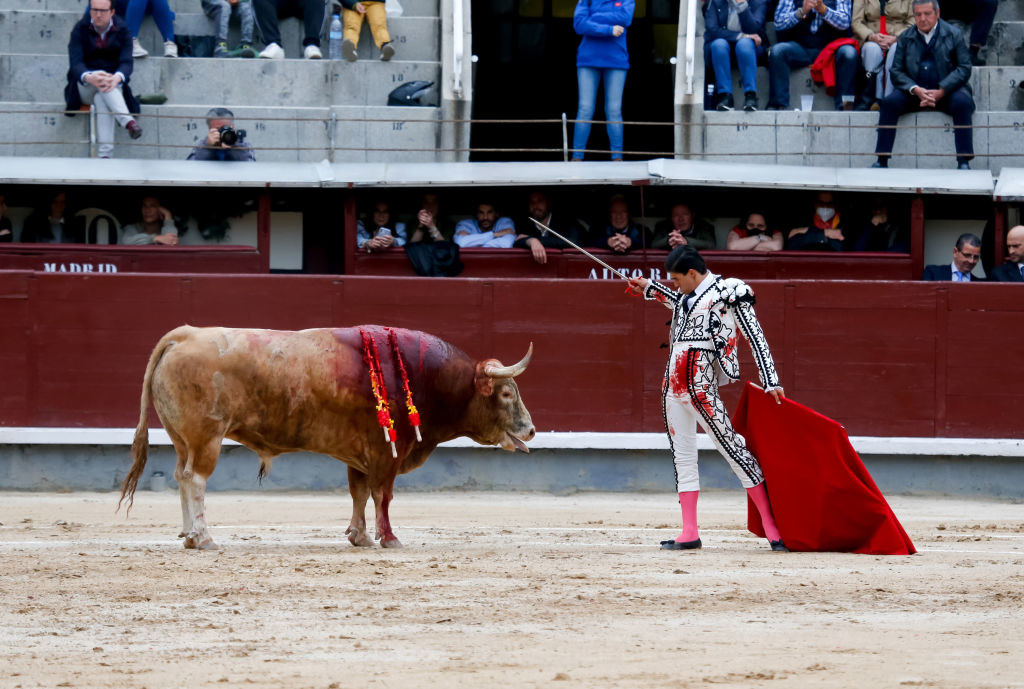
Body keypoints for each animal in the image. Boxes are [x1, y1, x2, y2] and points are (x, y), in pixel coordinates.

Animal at [119, 325, 536, 552]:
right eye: (506, 393)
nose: (531, 430)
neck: (425, 378)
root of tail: (183, 335)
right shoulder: (388, 453)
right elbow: (383, 495)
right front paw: (389, 538)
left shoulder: (360, 454)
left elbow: (359, 493)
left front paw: (359, 536)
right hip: (207, 438)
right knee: (196, 480)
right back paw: (204, 538)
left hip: (182, 439)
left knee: (180, 476)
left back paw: (188, 534)